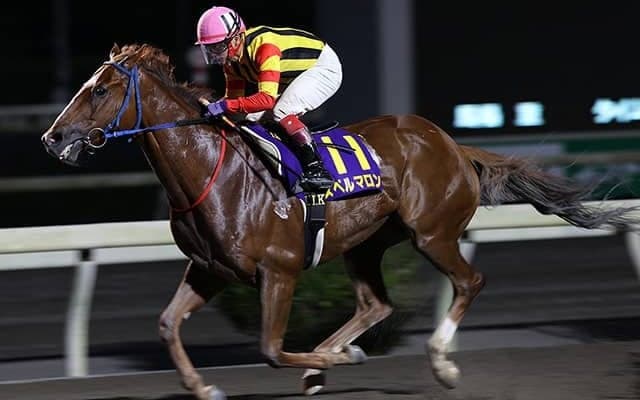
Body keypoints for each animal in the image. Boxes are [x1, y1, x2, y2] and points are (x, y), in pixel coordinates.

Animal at [41, 43, 638, 400]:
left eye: (99, 89)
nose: (53, 137)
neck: (212, 172)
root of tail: (449, 141)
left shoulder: (279, 271)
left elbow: (271, 350)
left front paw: (333, 360)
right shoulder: (209, 269)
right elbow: (168, 323)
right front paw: (206, 387)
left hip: (432, 232)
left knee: (470, 282)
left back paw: (437, 364)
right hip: (364, 244)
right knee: (377, 303)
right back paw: (332, 356)